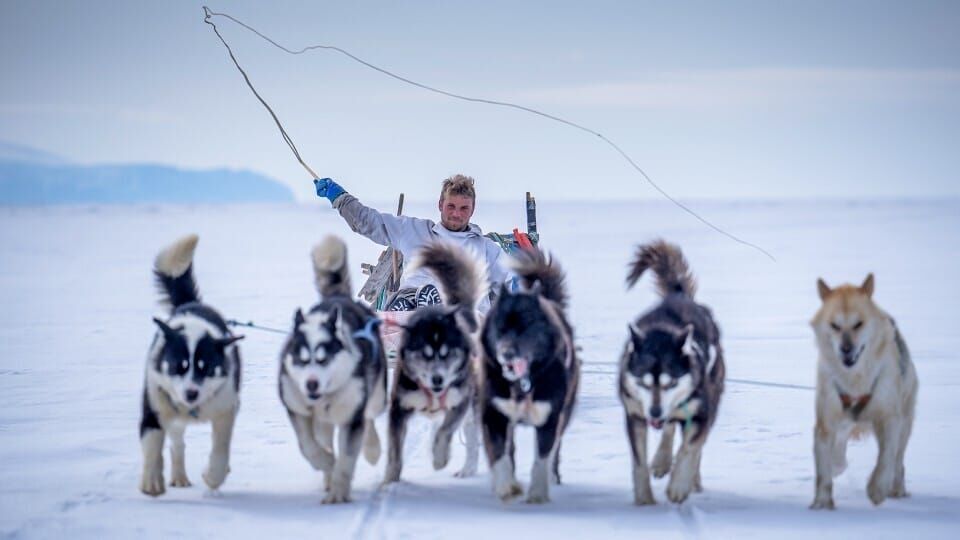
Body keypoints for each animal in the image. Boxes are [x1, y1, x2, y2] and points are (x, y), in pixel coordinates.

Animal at [812, 274, 920, 510]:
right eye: (835, 326)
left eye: (858, 324)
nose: (846, 349)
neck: (855, 380)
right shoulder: (827, 419)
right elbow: (824, 469)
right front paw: (822, 504)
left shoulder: (889, 418)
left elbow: (886, 459)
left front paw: (877, 489)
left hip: (905, 420)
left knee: (898, 459)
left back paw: (896, 487)